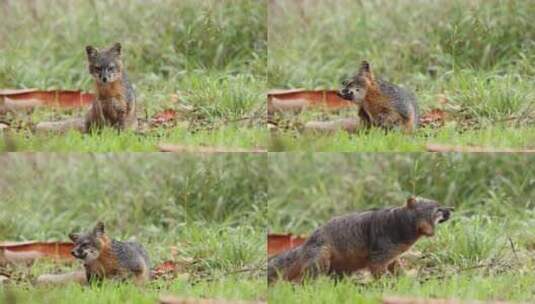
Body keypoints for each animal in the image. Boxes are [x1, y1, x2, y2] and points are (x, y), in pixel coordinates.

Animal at [268, 196, 452, 284]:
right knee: (306, 280)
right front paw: (387, 284)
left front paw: (405, 280)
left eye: (442, 206)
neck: (398, 224)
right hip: (321, 259)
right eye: (438, 209)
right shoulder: (378, 259)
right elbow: (380, 274)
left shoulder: (393, 258)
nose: (452, 209)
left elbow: (399, 270)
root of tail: (305, 244)